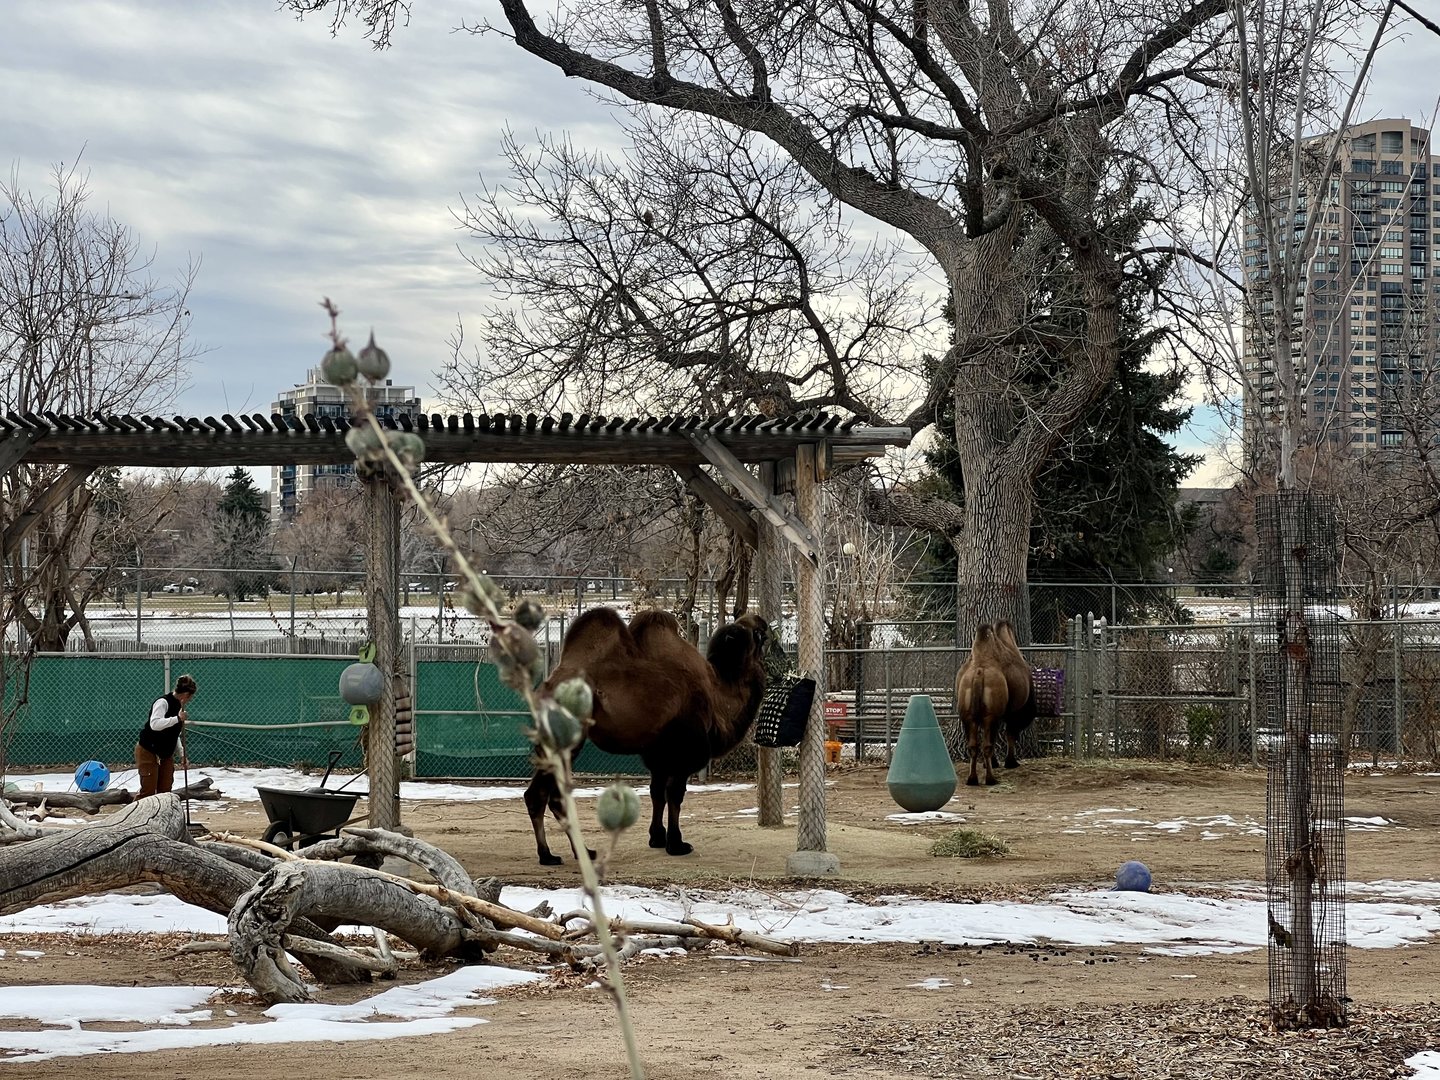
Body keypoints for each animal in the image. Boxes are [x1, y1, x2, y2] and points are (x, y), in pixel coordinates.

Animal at [524, 606, 769, 865]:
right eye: (762, 635)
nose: (765, 625)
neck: (717, 694)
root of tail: (545, 689)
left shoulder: (657, 754)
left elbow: (657, 792)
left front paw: (657, 838)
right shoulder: (683, 751)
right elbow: (675, 794)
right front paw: (677, 844)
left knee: (536, 795)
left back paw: (549, 853)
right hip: (569, 740)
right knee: (553, 797)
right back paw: (576, 853)